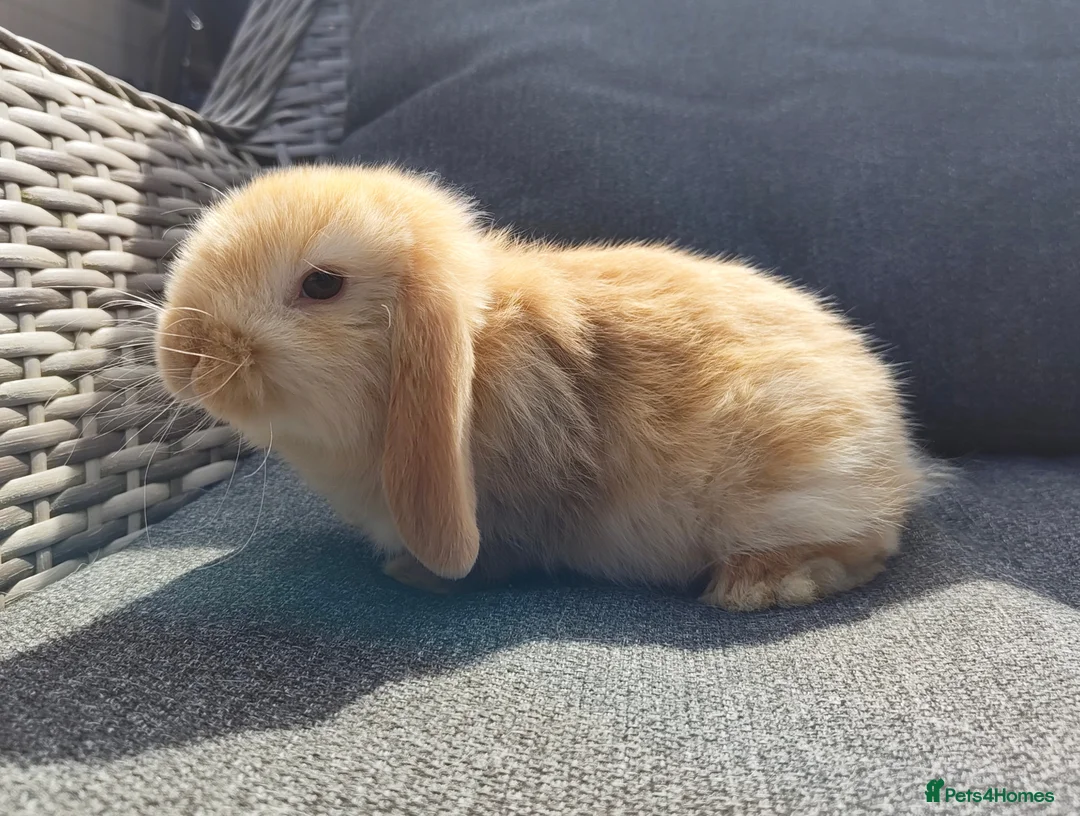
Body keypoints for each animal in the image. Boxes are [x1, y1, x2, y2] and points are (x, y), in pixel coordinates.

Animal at [155, 164, 930, 611]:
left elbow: (491, 559)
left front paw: (413, 574)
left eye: (321, 284)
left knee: (868, 545)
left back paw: (758, 586)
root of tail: (898, 448)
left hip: (798, 478)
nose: (182, 357)